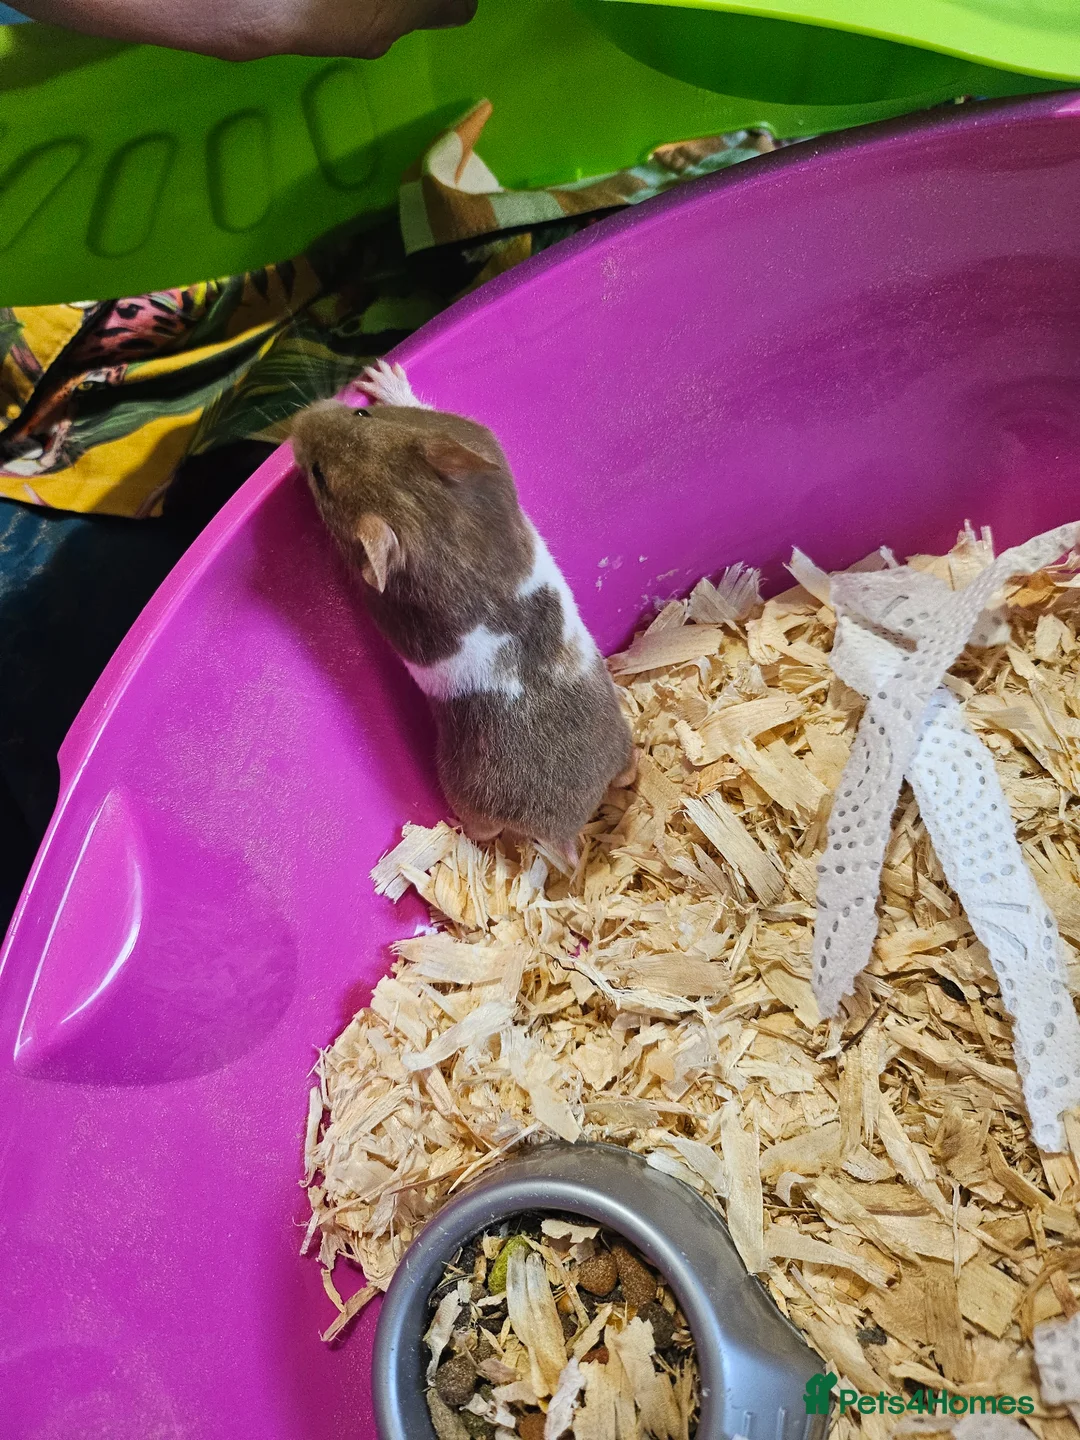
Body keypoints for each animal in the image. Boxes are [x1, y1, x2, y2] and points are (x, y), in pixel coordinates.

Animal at [290, 359, 636, 863]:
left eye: (361, 415)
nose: (298, 420)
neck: (426, 517)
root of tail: (565, 826)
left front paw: (380, 376)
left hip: (469, 795)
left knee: (483, 830)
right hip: (618, 743)